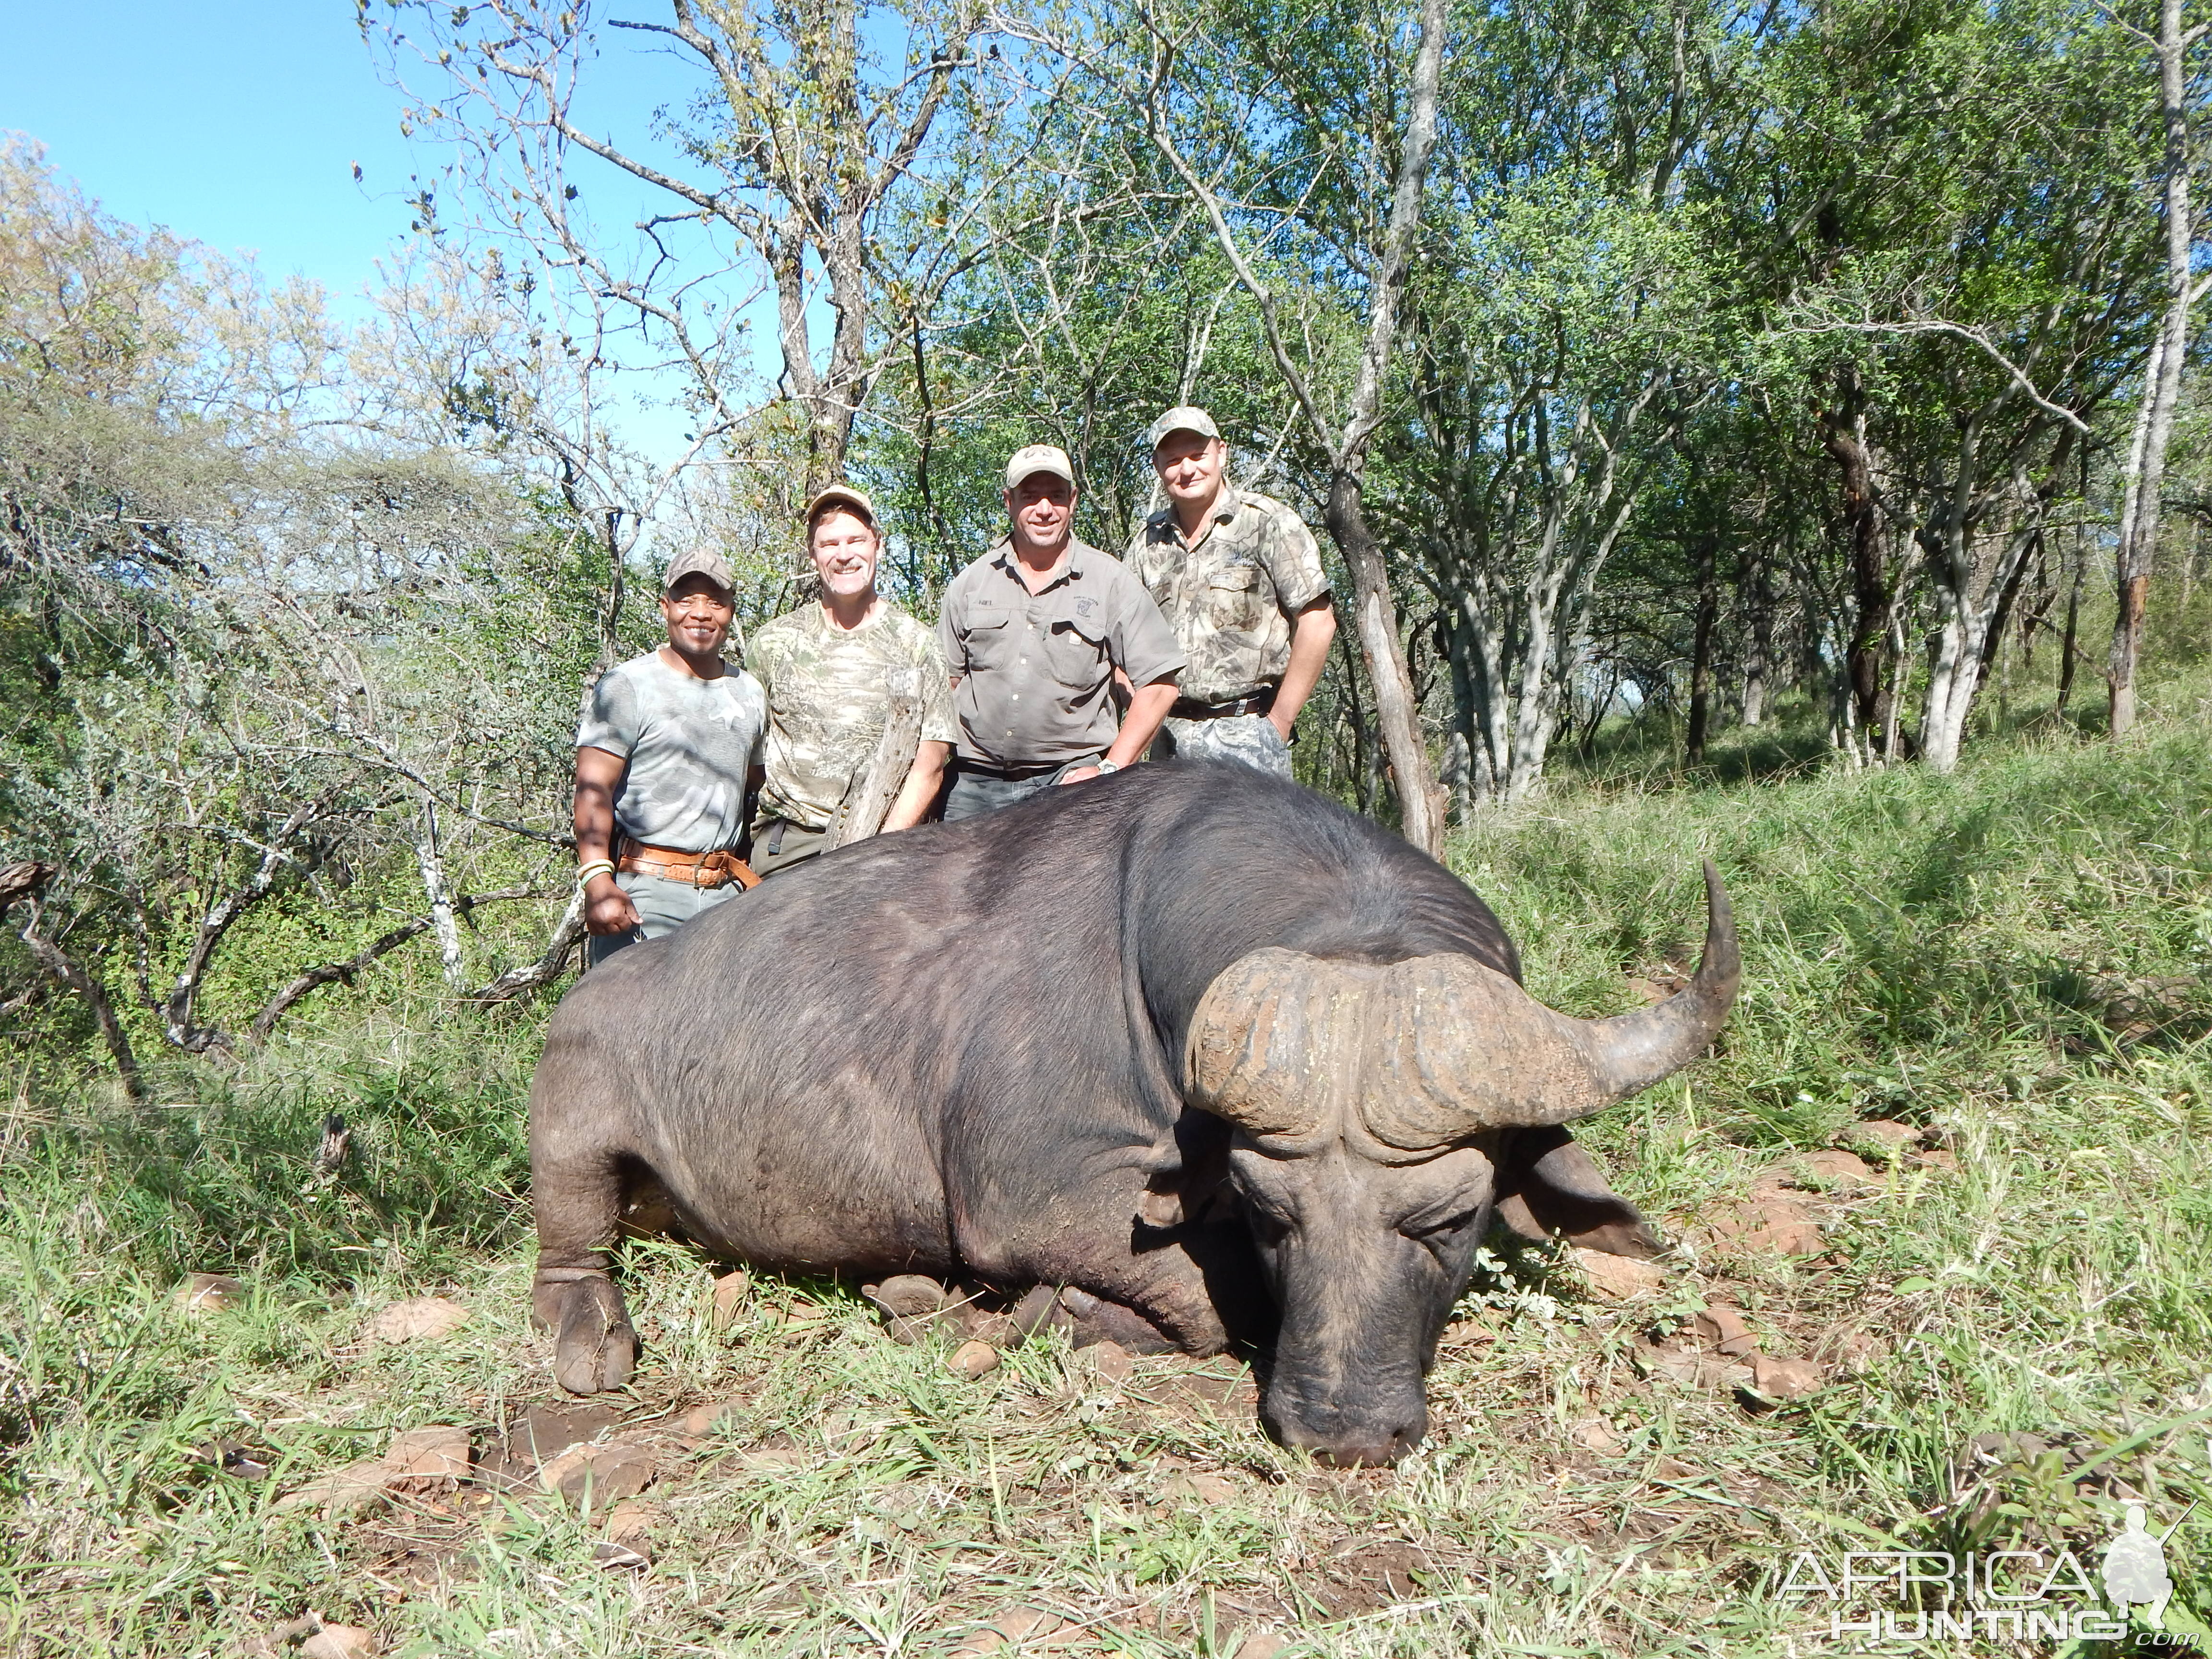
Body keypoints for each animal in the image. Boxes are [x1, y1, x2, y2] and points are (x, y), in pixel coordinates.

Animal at [526, 765, 1734, 1468]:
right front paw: (1045, 1313)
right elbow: (1210, 1295)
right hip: (573, 1114)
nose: (1337, 1431)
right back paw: (591, 1338)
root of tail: (597, 994)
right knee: (570, 1237)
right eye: (1268, 1212)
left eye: (1449, 1219)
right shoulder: (1041, 1198)